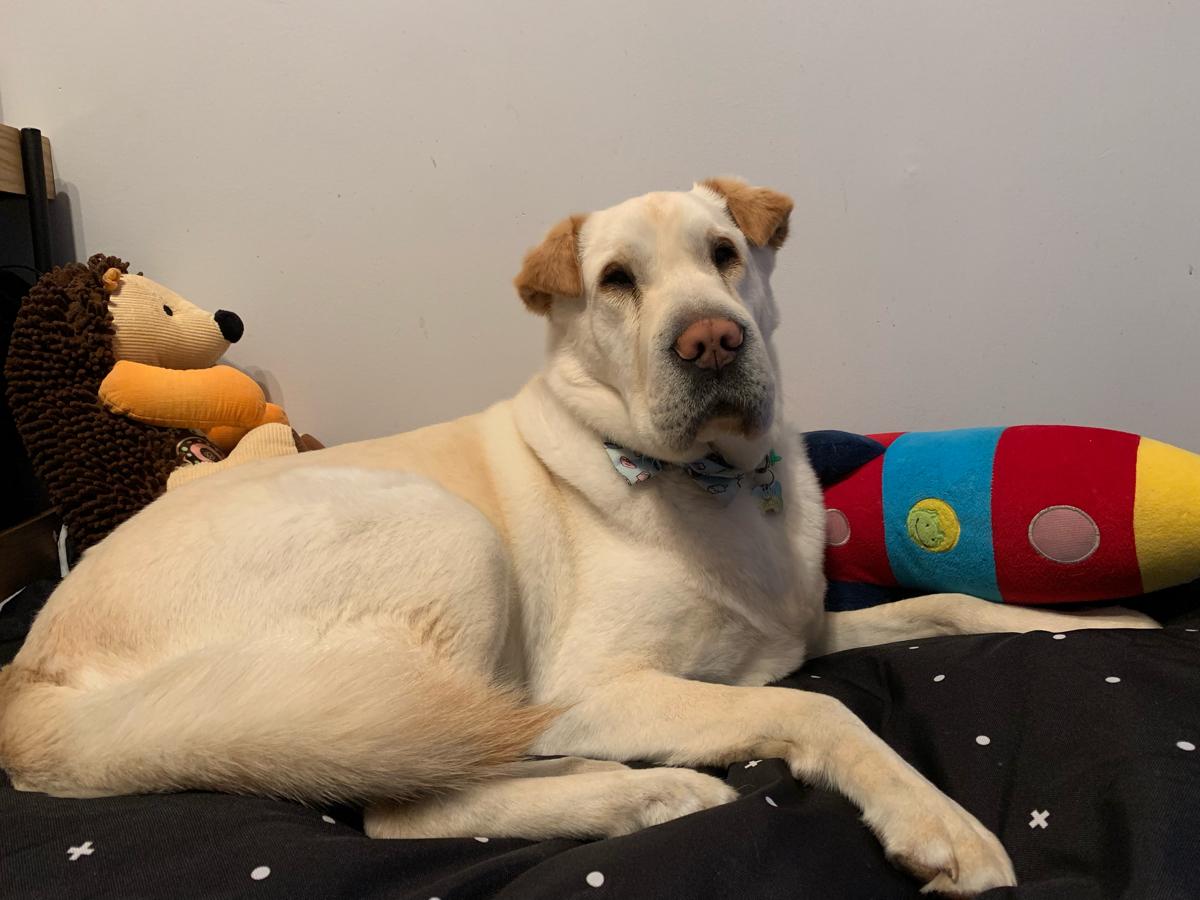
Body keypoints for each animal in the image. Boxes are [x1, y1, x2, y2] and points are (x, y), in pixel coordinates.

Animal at [0, 178, 1157, 895]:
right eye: (616, 283)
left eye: (726, 255)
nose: (713, 339)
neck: (718, 481)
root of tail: (33, 673)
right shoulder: (605, 681)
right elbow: (819, 712)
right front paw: (934, 820)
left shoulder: (804, 628)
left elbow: (950, 606)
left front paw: (1111, 623)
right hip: (446, 542)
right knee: (402, 810)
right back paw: (648, 791)